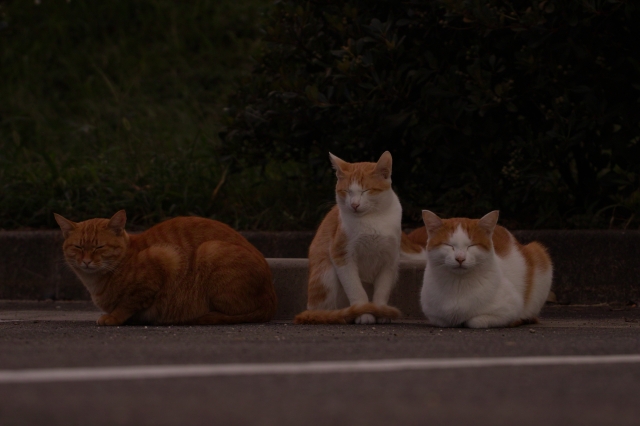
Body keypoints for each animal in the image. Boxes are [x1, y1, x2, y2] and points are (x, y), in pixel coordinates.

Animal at [54, 211, 276, 326]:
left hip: (210, 249)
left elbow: (128, 303)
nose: (86, 261)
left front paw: (114, 317)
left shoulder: (165, 259)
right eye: (78, 247)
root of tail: (271, 300)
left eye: (99, 247)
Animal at [296, 151, 424, 324]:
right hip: (325, 273)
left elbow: (382, 290)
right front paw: (364, 313)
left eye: (366, 190)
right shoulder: (341, 255)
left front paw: (381, 311)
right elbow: (356, 289)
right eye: (347, 191)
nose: (354, 204)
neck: (372, 219)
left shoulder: (390, 260)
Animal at [412, 211, 552, 328]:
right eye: (449, 245)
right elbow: (444, 321)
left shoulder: (509, 309)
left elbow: (475, 321)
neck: (458, 285)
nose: (460, 258)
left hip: (539, 254)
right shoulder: (435, 316)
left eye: (471, 246)